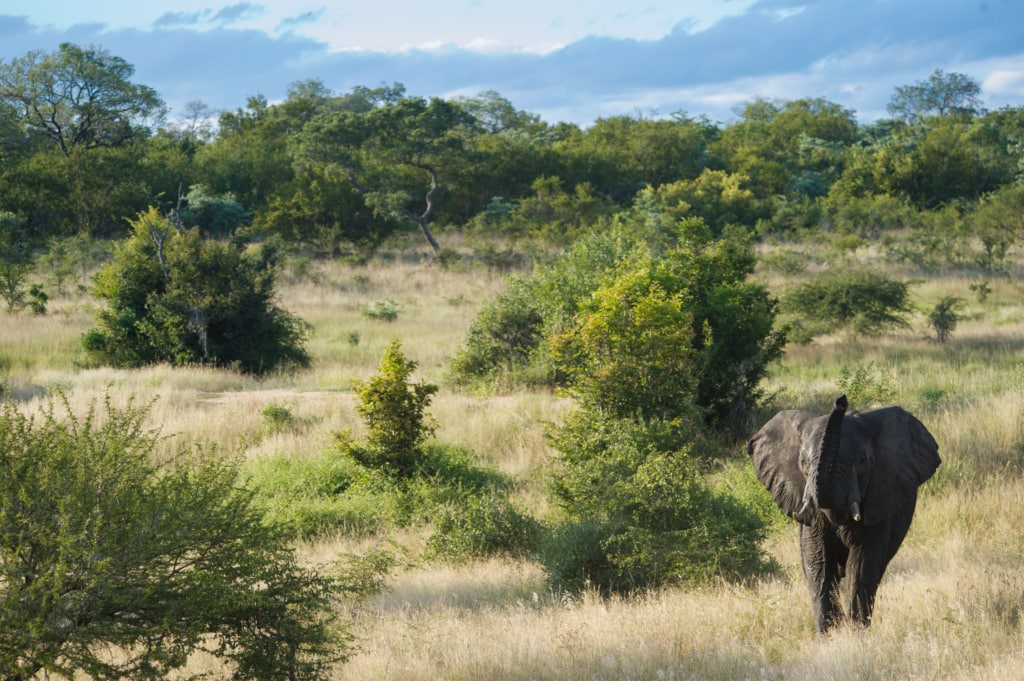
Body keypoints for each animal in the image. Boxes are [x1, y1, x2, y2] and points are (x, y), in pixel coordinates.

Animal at [747, 395, 940, 632]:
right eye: (803, 462)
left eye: (862, 461)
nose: (841, 400)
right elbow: (819, 563)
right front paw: (829, 634)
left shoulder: (878, 501)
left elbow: (861, 566)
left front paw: (856, 633)